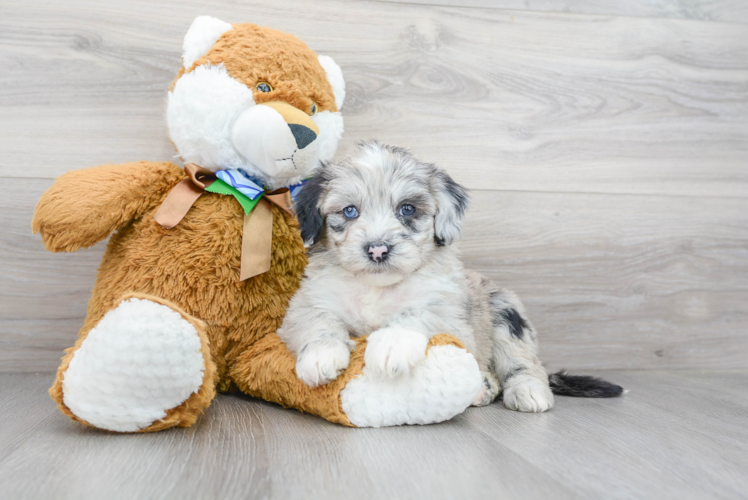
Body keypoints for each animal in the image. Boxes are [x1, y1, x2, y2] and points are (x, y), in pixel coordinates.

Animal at [278, 141, 624, 410]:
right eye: (349, 211)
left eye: (407, 209)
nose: (377, 250)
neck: (376, 289)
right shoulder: (304, 306)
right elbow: (319, 321)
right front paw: (321, 356)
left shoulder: (453, 319)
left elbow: (416, 312)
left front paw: (391, 343)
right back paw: (483, 387)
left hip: (506, 315)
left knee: (526, 364)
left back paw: (527, 391)